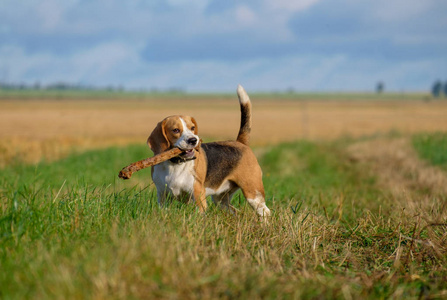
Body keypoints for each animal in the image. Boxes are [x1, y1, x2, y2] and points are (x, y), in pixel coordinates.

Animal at [149, 85, 272, 217]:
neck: (175, 164)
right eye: (176, 130)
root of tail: (240, 142)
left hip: (253, 193)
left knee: (265, 212)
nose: (193, 140)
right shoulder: (163, 197)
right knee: (234, 211)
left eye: (192, 128)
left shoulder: (198, 194)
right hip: (221, 200)